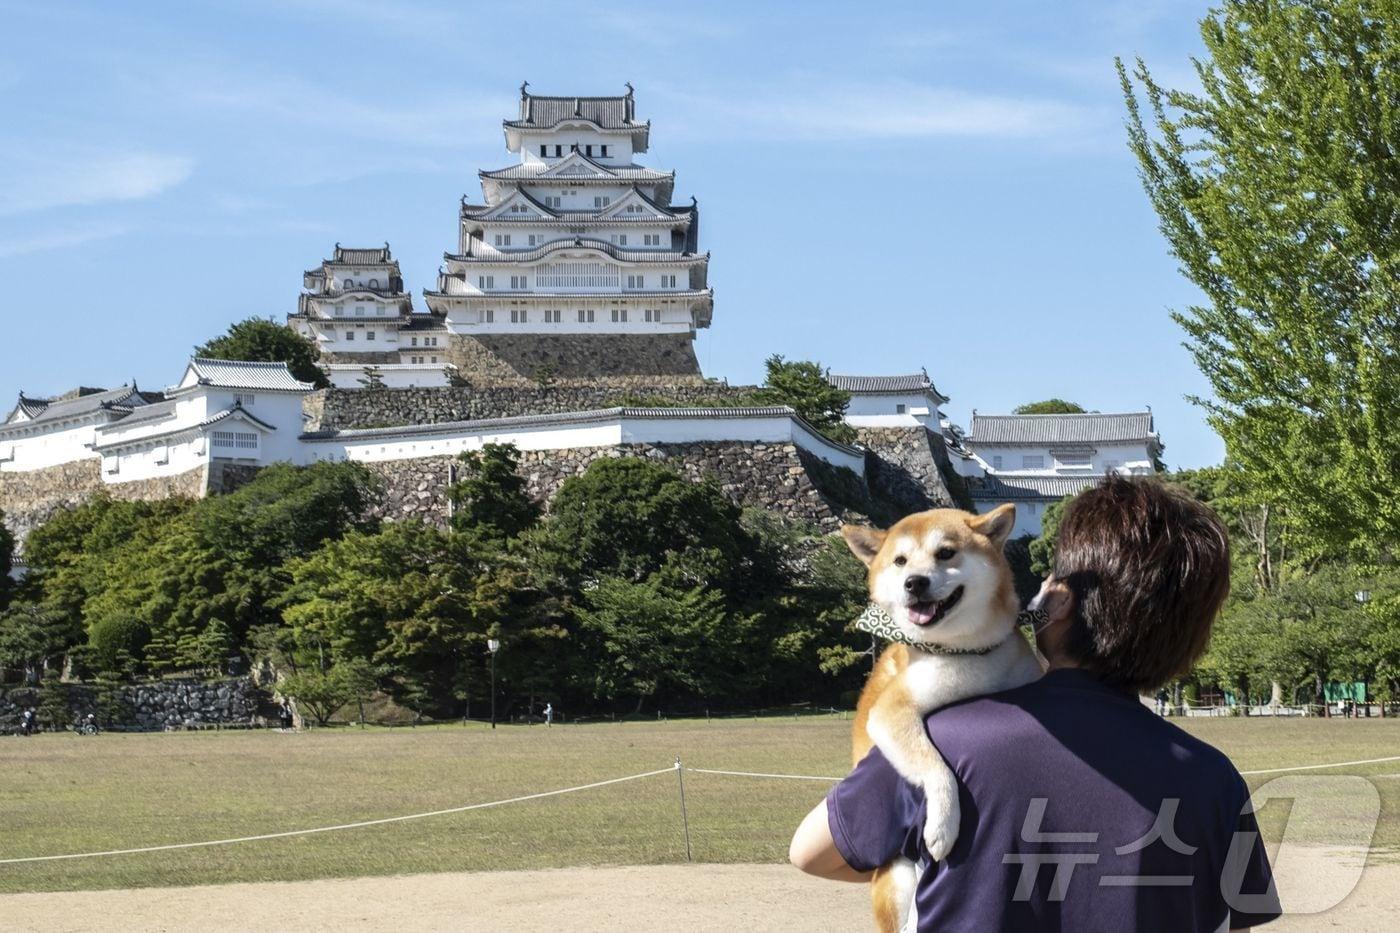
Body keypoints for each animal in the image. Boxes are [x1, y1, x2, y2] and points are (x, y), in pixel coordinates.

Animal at [840, 504, 1041, 924]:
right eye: (900, 561)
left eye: (945, 553)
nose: (914, 583)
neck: (968, 654)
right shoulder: (892, 709)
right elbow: (935, 766)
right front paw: (943, 825)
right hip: (897, 880)